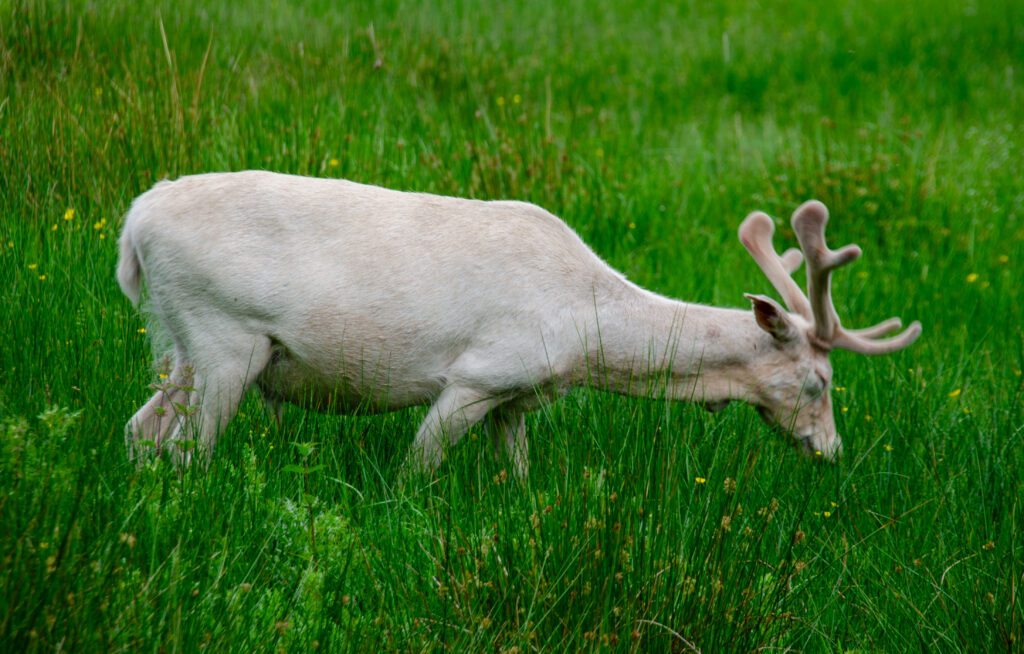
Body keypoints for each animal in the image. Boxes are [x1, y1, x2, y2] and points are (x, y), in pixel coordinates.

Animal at [117, 171, 921, 475]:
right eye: (819, 383)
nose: (832, 451)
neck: (586, 338)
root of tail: (132, 227)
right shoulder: (479, 374)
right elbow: (416, 470)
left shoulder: (516, 396)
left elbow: (520, 477)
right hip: (224, 336)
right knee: (187, 450)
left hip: (181, 345)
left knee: (139, 430)